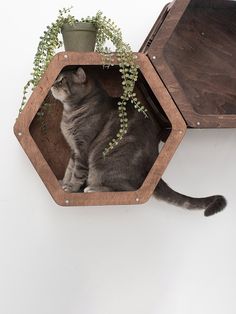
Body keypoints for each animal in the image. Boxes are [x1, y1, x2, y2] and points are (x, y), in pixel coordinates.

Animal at [51, 67, 227, 217]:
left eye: (62, 81)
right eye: (56, 79)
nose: (52, 84)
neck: (70, 113)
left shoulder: (82, 148)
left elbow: (77, 172)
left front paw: (71, 188)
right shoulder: (74, 149)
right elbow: (69, 169)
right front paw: (64, 183)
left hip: (103, 163)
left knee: (124, 189)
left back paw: (92, 189)